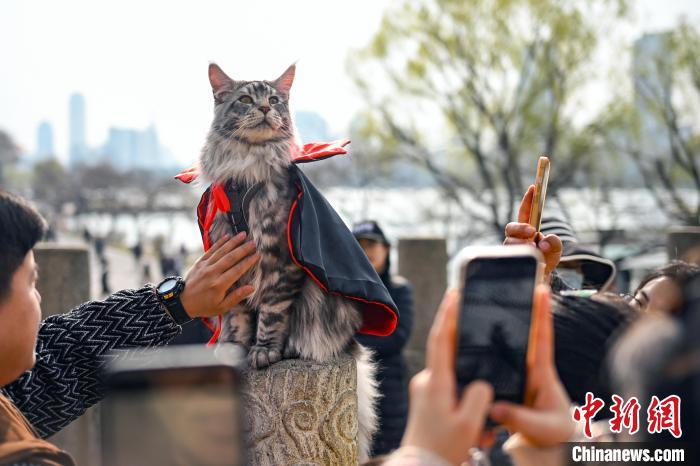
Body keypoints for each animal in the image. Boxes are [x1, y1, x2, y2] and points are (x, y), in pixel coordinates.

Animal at [197, 63, 380, 460]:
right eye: (245, 99)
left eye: (275, 99)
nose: (266, 108)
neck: (246, 165)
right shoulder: (232, 263)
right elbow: (237, 317)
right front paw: (234, 346)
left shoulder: (280, 261)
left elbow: (271, 313)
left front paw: (264, 350)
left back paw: (295, 347)